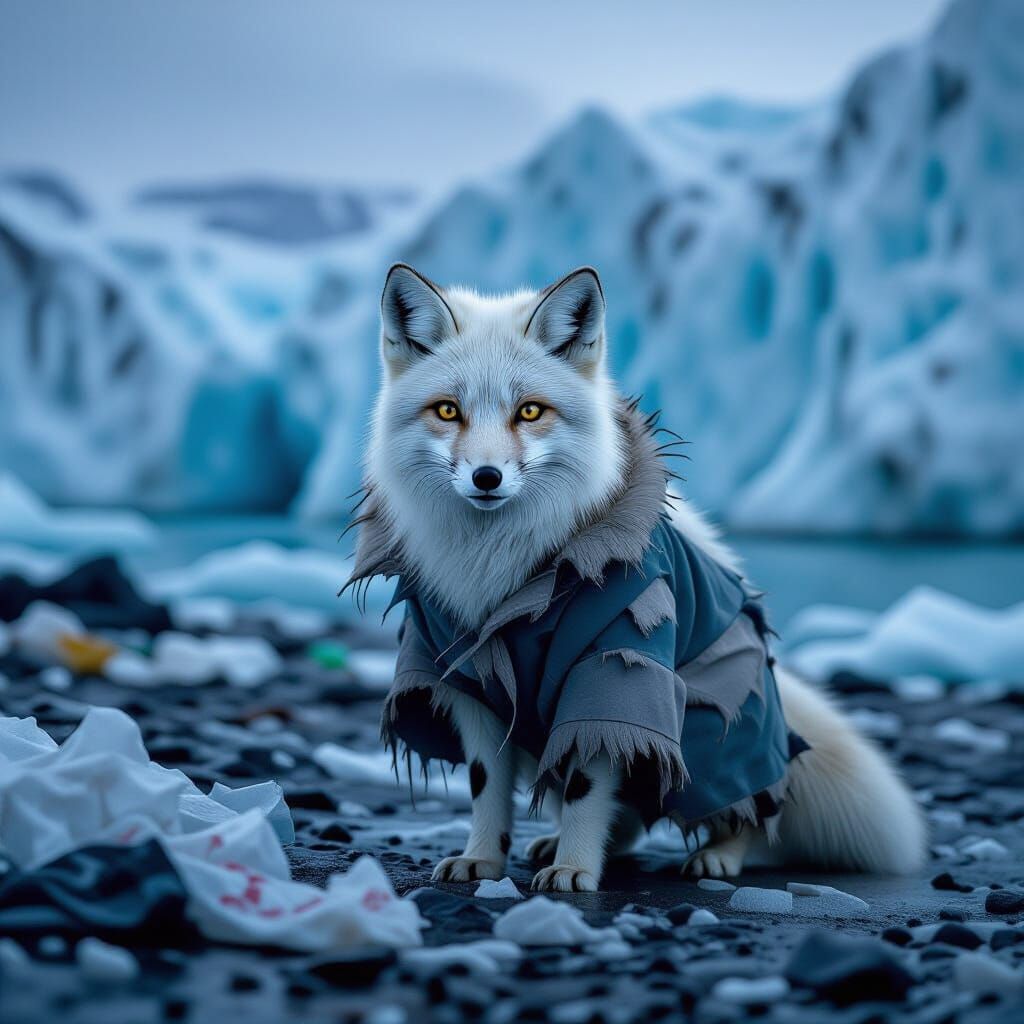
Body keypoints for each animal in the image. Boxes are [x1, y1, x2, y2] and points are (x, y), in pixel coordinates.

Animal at [347, 262, 927, 893]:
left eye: (530, 412)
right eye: (448, 411)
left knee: (750, 807)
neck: (506, 574)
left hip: (705, 727)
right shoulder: (468, 679)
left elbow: (588, 787)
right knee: (626, 817)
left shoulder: (614, 670)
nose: (486, 477)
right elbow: (487, 789)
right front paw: (483, 859)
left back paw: (718, 855)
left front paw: (575, 869)